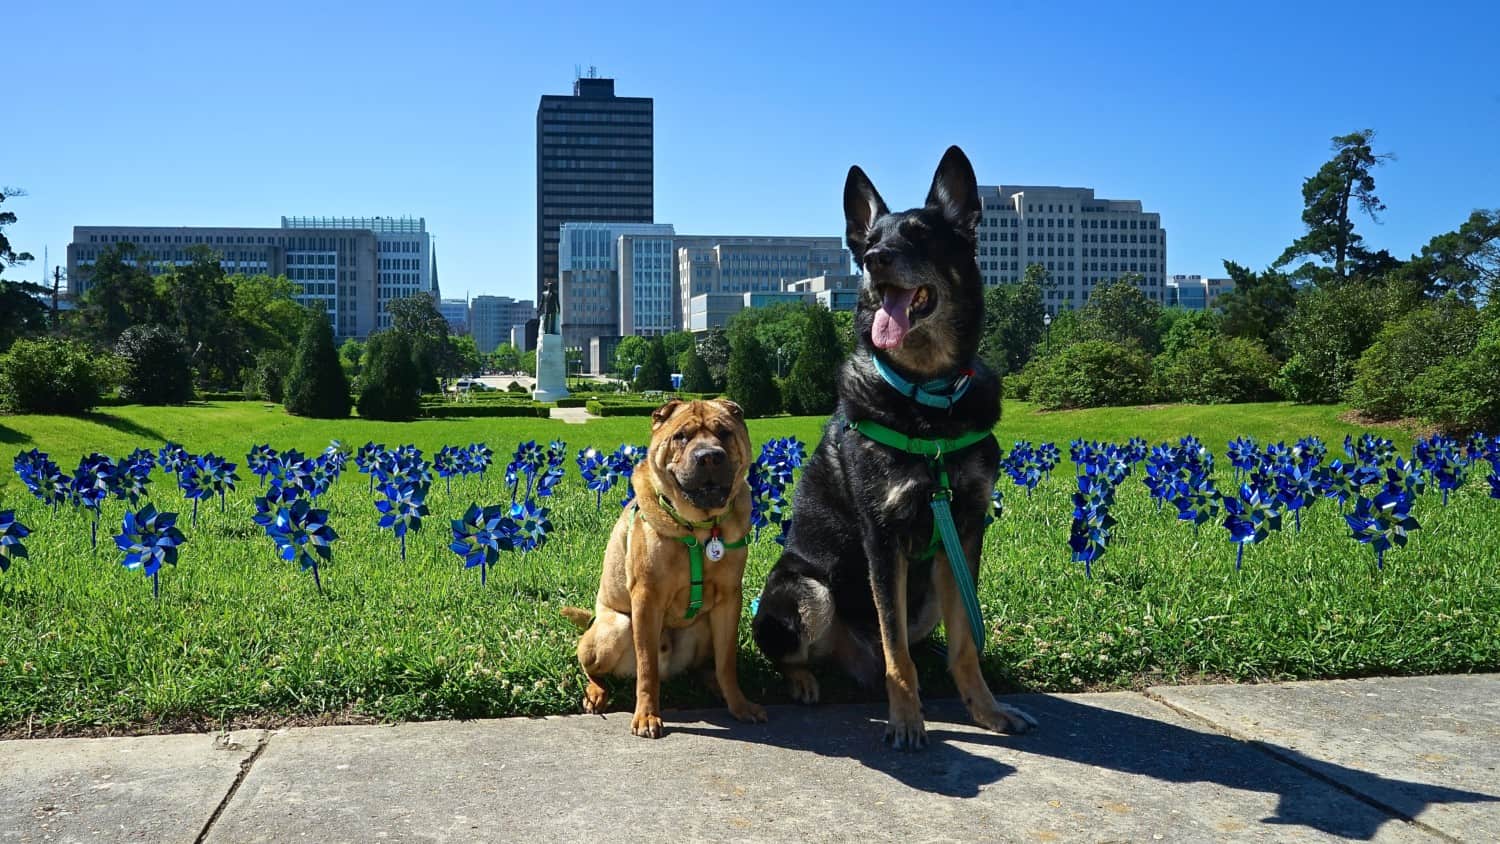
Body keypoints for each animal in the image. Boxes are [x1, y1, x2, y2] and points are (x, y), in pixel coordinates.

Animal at [564, 398, 774, 737]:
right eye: (681, 437)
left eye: (724, 432)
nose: (709, 456)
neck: (701, 529)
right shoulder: (646, 599)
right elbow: (647, 667)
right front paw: (647, 716)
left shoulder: (729, 599)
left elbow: (727, 662)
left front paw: (740, 705)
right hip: (615, 628)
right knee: (591, 666)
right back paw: (596, 693)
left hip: (702, 628)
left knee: (704, 667)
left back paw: (712, 684)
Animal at [756, 146, 1038, 752]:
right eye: (869, 241)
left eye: (920, 235)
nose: (875, 260)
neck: (928, 403)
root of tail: (849, 665)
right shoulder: (883, 538)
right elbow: (897, 656)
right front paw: (907, 721)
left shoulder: (967, 528)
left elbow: (965, 643)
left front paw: (986, 710)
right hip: (808, 590)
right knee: (803, 653)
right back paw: (805, 681)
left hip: (928, 590)